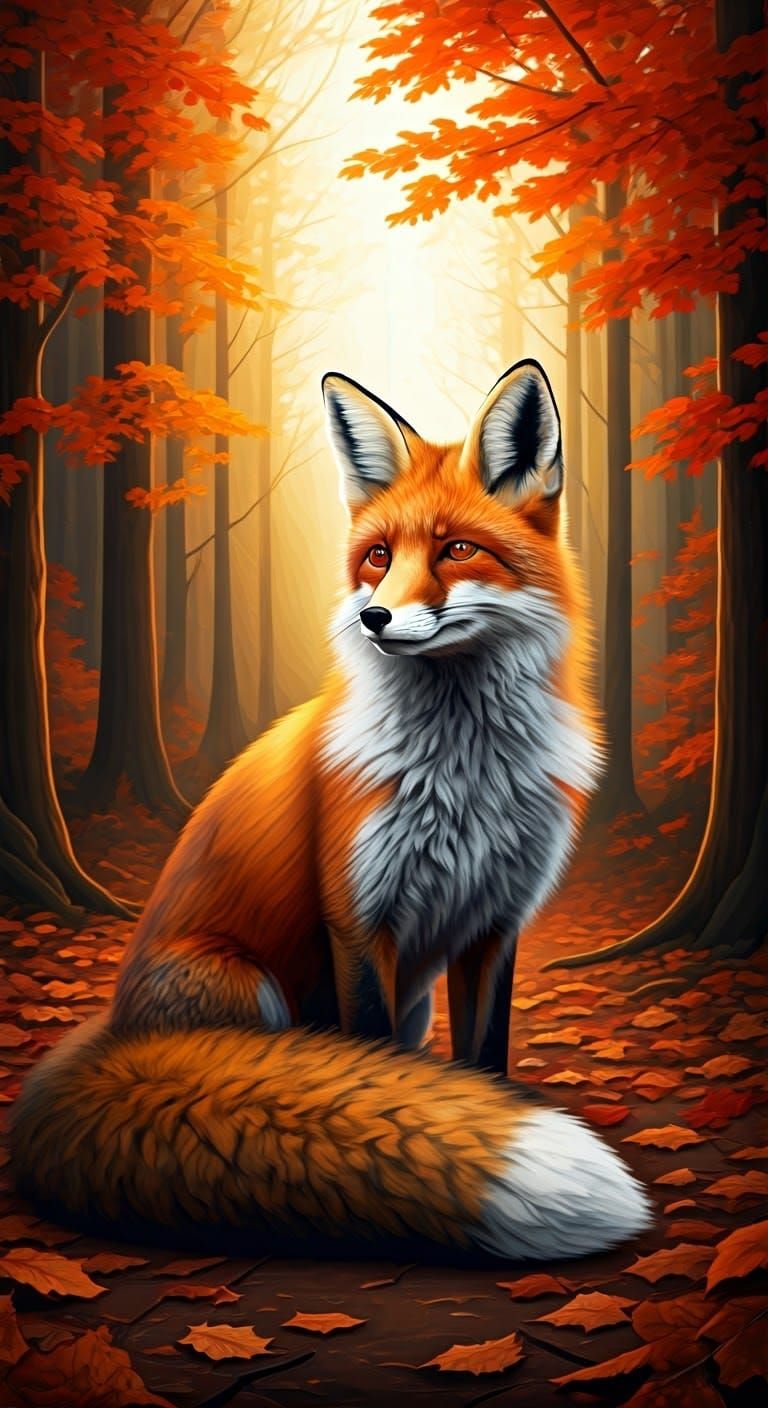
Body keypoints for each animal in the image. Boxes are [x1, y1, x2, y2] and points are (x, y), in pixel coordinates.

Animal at [11, 360, 650, 1261]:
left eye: (457, 548)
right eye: (378, 557)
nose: (375, 616)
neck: (464, 774)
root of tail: (111, 1037)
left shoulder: (493, 925)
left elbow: (485, 1064)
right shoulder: (360, 920)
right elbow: (379, 1073)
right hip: (248, 989)